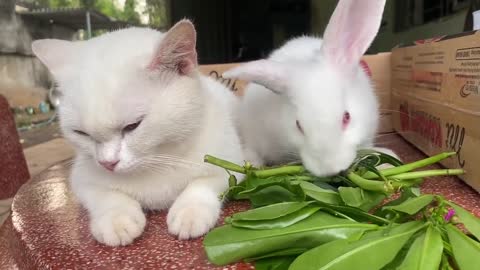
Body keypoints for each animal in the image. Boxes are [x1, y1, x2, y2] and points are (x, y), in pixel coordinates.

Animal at [31, 20, 246, 246]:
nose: (107, 163)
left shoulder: (230, 164)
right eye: (81, 133)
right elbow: (104, 195)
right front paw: (116, 218)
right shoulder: (82, 177)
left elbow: (203, 183)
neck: (157, 162)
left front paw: (190, 211)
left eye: (132, 126)